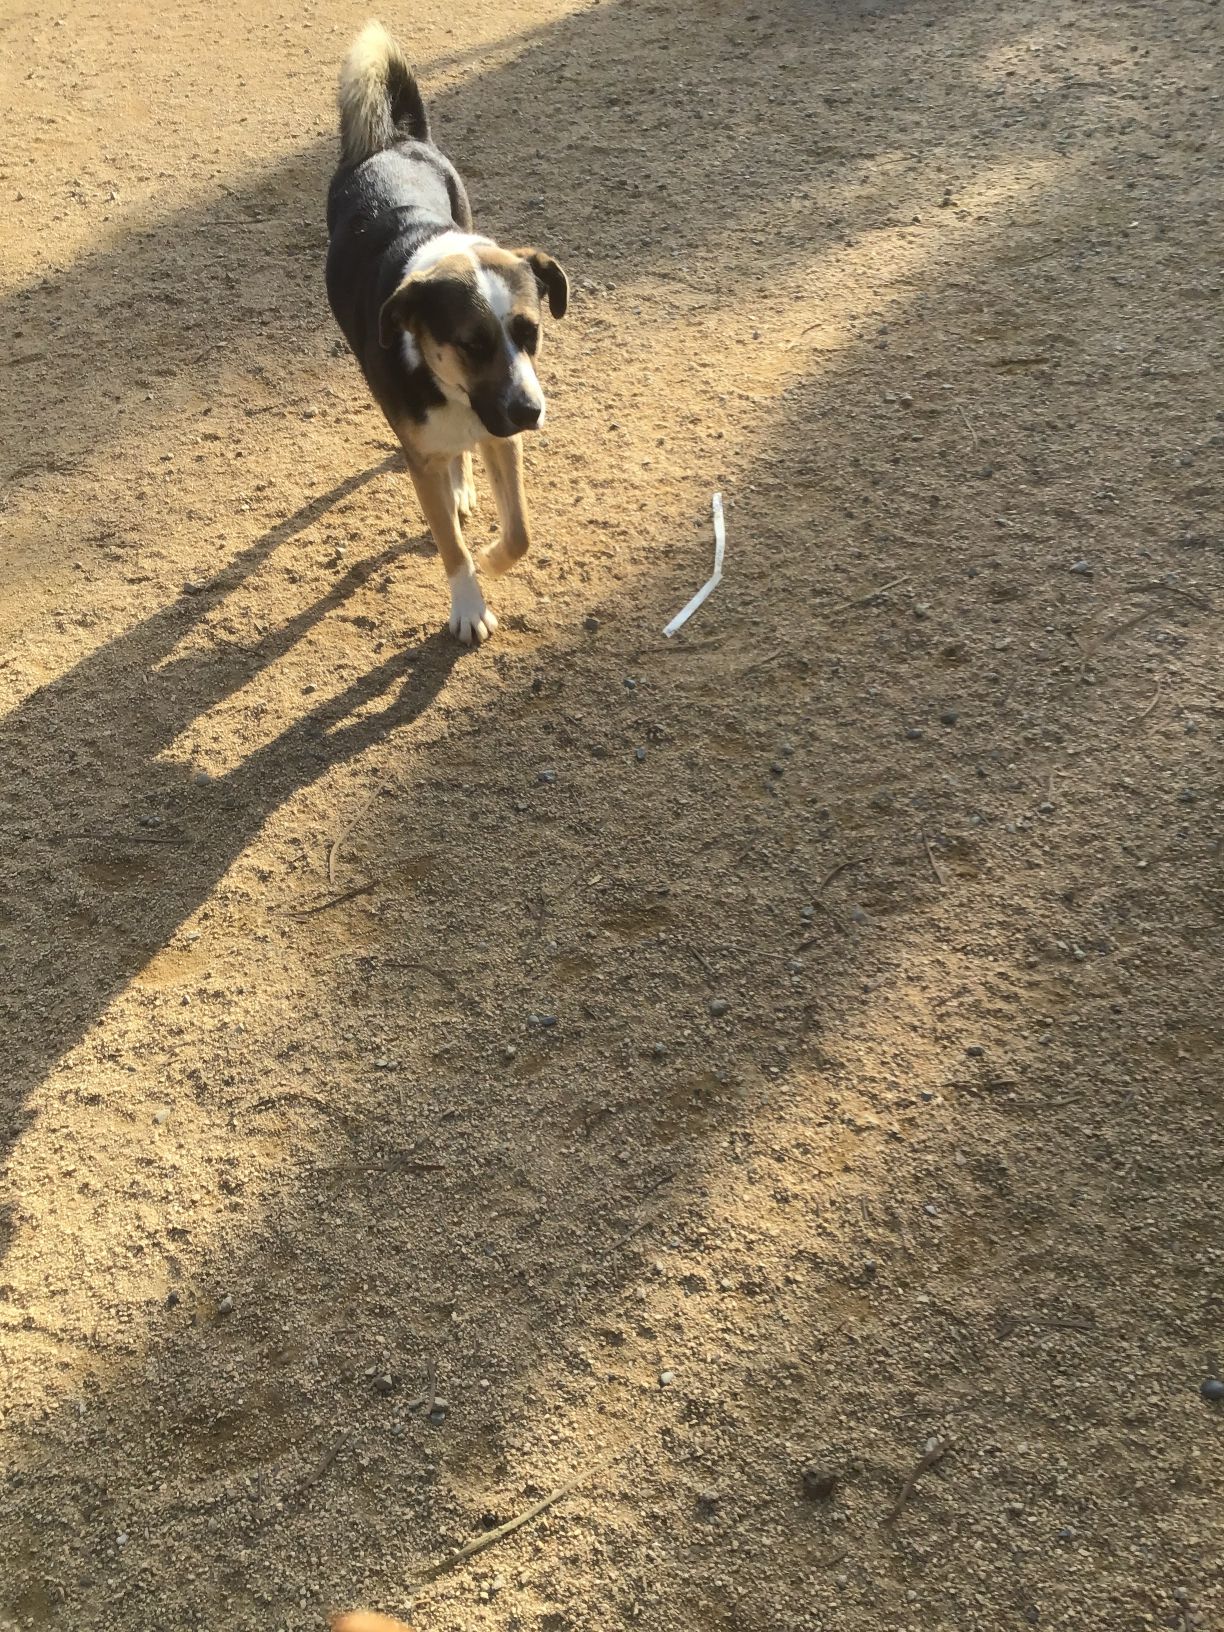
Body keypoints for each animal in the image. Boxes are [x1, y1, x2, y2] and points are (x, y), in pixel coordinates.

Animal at [325, 20, 569, 644]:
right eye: (471, 343)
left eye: (530, 332)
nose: (531, 411)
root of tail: (393, 139)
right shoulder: (425, 458)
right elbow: (451, 547)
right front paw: (468, 605)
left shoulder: (501, 434)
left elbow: (519, 532)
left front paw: (491, 560)